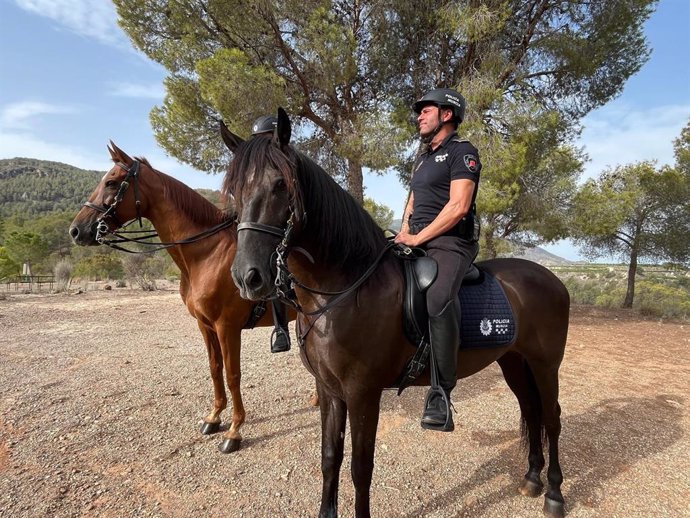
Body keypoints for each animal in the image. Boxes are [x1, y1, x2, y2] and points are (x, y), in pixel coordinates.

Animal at [67, 142, 296, 456]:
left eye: (111, 183)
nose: (77, 230)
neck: (208, 253)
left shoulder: (227, 328)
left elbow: (233, 375)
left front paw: (235, 431)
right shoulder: (206, 326)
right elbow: (215, 369)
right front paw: (214, 418)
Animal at [223, 109, 568, 518]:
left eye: (279, 184)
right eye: (234, 190)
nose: (247, 277)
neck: (343, 290)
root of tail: (552, 278)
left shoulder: (363, 392)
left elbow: (360, 467)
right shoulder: (328, 389)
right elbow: (329, 457)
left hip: (545, 364)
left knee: (552, 417)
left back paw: (554, 493)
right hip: (514, 360)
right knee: (531, 410)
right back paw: (532, 478)